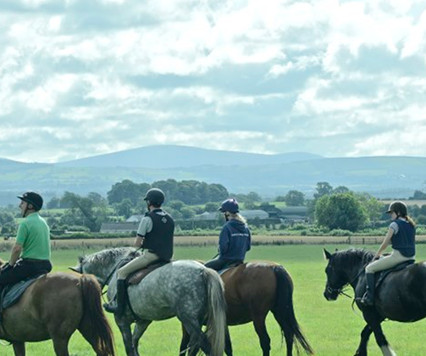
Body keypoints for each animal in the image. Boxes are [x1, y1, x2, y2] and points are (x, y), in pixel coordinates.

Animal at [71, 248, 228, 356]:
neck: (114, 270)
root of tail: (203, 270)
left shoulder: (122, 320)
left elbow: (129, 346)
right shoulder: (143, 320)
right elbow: (134, 344)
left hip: (188, 318)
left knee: (204, 344)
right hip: (196, 319)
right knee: (195, 345)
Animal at [178, 260, 314, 354]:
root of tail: (274, 267)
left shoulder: (189, 324)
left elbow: (186, 346)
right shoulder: (222, 323)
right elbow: (227, 347)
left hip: (258, 317)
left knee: (265, 341)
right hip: (279, 312)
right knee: (288, 335)